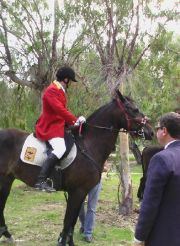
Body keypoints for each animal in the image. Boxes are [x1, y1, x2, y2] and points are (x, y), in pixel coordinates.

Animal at [0, 90, 153, 246]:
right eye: (134, 109)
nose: (150, 132)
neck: (88, 144)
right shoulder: (77, 191)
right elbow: (68, 222)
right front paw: (62, 242)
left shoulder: (81, 191)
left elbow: (72, 223)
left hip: (8, 180)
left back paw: (7, 234)